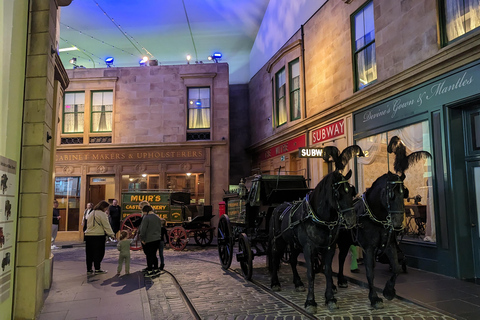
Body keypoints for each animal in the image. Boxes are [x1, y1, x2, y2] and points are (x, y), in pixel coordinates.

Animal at [270, 145, 360, 312]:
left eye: (351, 192)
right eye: (337, 193)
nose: (351, 220)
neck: (320, 219)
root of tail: (279, 206)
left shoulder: (329, 247)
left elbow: (328, 270)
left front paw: (330, 298)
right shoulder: (308, 247)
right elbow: (311, 272)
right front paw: (311, 302)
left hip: (294, 244)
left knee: (292, 260)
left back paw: (298, 283)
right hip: (278, 241)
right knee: (275, 257)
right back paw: (275, 283)